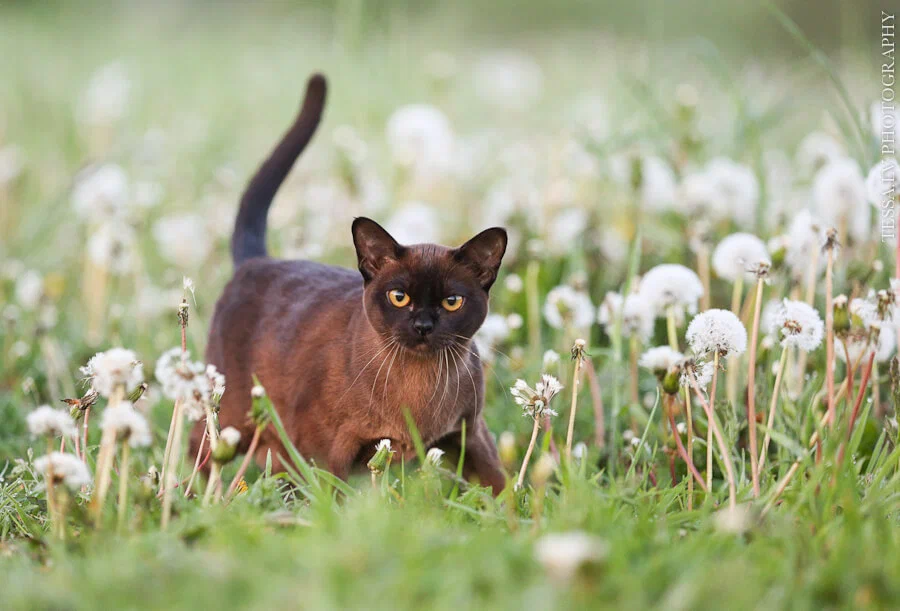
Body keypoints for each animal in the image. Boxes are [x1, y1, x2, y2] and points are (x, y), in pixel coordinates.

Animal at [194, 74, 510, 492]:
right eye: (399, 296)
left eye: (452, 302)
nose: (423, 326)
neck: (416, 390)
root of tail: (257, 260)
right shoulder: (327, 456)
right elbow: (332, 502)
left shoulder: (470, 436)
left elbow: (504, 491)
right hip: (230, 420)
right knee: (196, 459)